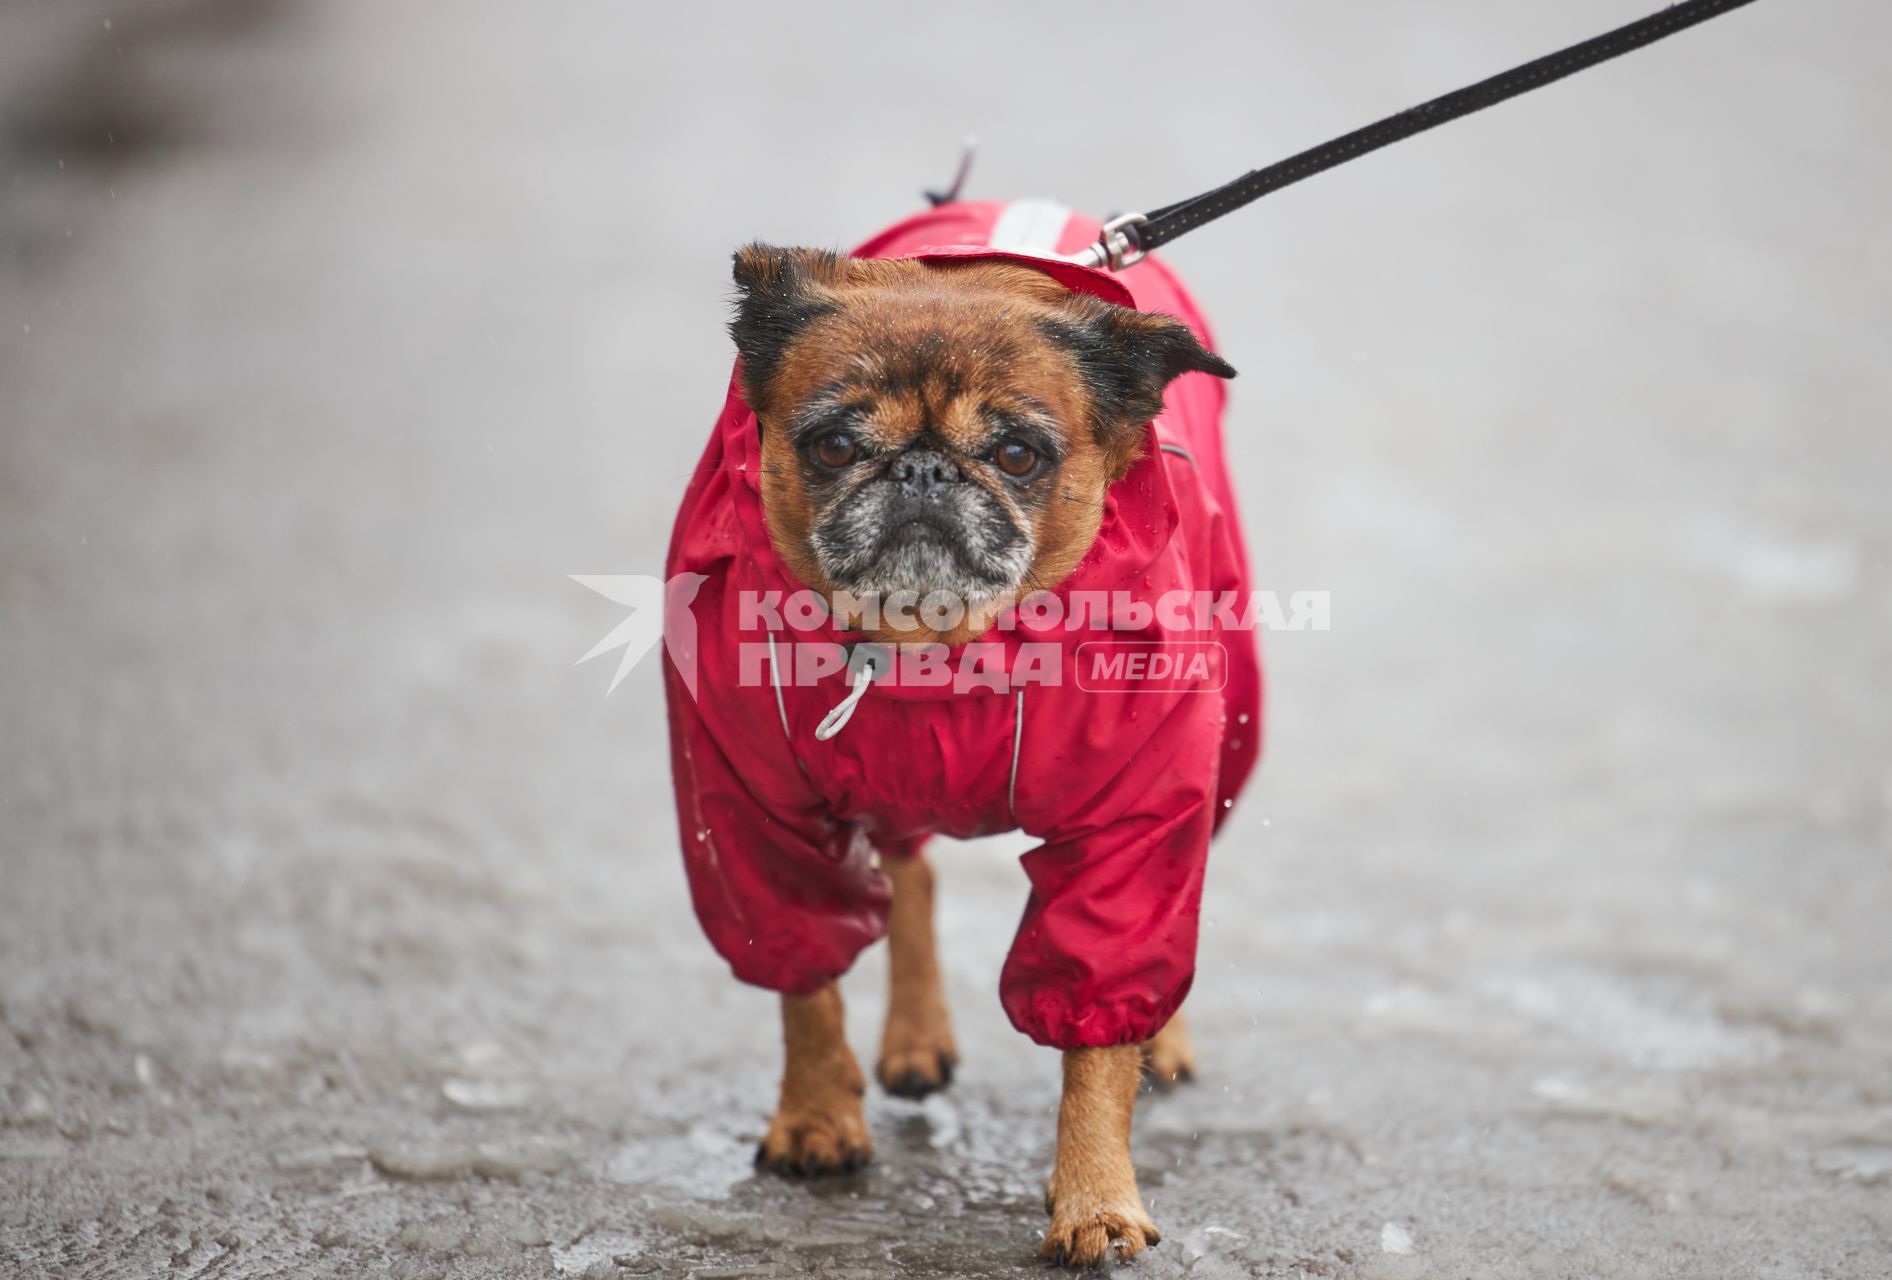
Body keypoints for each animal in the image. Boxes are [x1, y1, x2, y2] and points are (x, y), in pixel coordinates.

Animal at [658, 194, 1263, 1262]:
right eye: (835, 445)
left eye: (1018, 454)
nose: (925, 472)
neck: (931, 651)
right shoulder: (753, 825)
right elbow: (805, 978)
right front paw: (815, 1115)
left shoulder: (1130, 834)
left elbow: (1100, 1016)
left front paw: (1095, 1197)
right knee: (910, 874)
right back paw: (912, 1038)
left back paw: (1163, 1042)